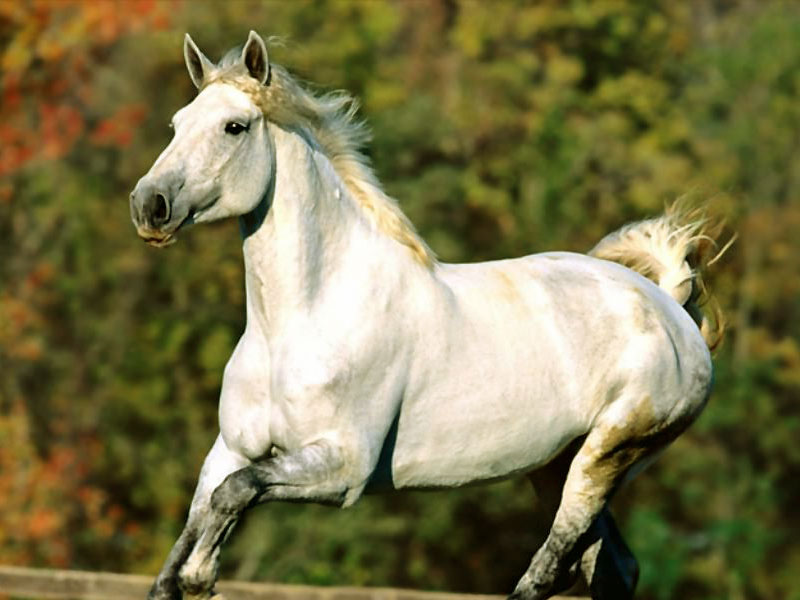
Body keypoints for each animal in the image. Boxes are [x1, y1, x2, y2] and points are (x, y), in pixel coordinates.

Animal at [130, 31, 725, 600]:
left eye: (234, 127)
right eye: (177, 124)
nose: (149, 205)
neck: (298, 323)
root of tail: (670, 308)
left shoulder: (342, 469)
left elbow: (234, 497)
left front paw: (203, 577)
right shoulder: (230, 450)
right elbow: (188, 537)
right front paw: (191, 574)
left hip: (608, 454)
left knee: (548, 571)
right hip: (556, 467)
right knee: (612, 568)